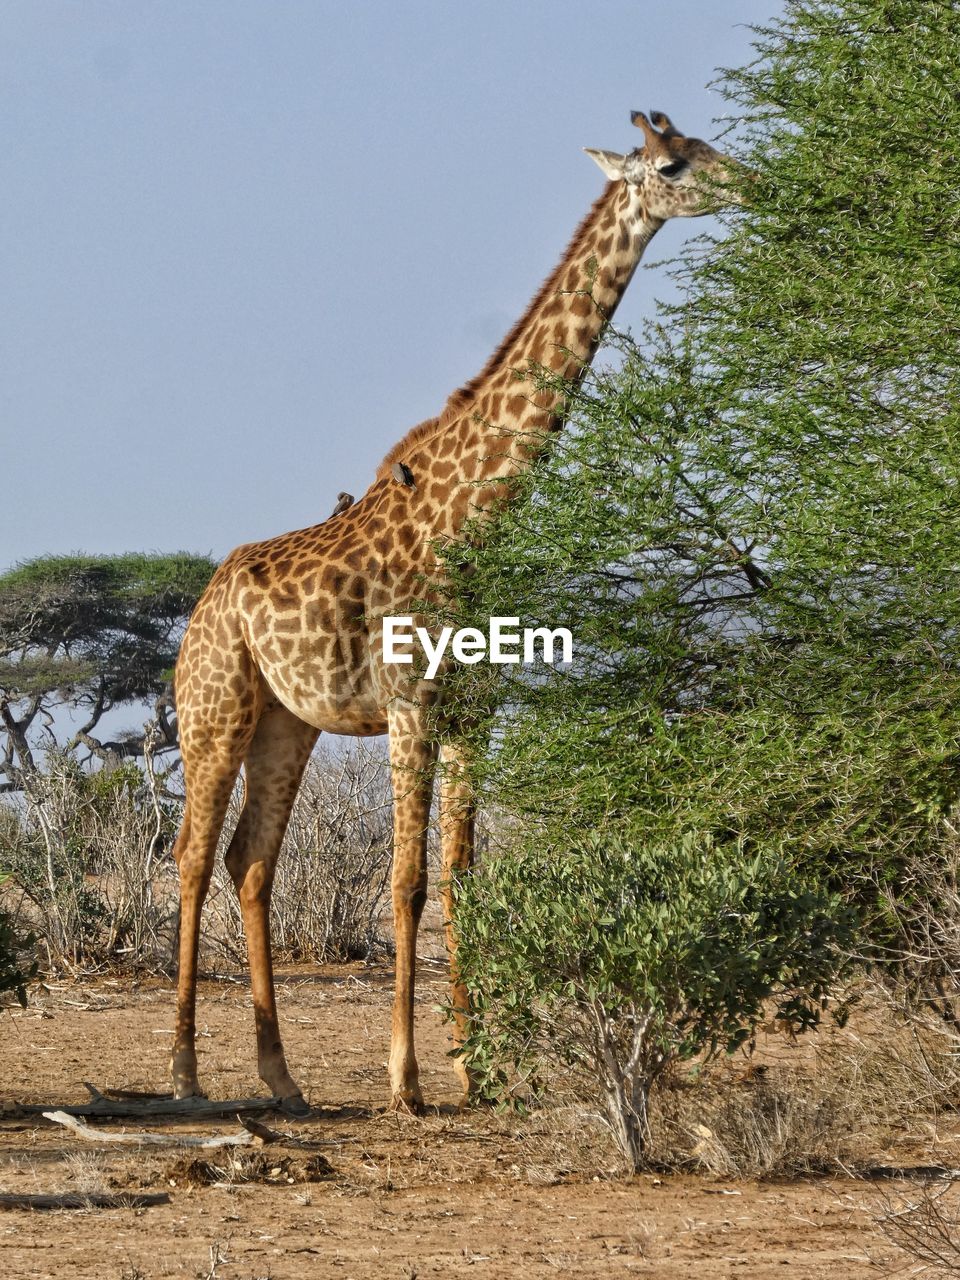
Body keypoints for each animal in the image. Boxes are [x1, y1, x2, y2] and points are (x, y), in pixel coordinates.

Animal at [171, 107, 737, 1111]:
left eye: (706, 147)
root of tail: (199, 612)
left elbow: (463, 874)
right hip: (216, 709)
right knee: (192, 860)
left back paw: (282, 1078)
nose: (751, 181)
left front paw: (482, 1071)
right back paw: (187, 1072)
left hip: (287, 721)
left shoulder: (477, 707)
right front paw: (406, 1077)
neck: (479, 511)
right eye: (672, 164)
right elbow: (406, 881)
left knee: (251, 861)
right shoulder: (411, 702)